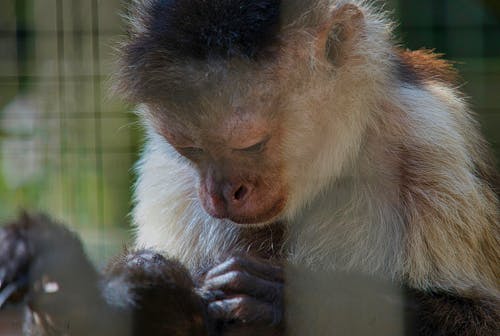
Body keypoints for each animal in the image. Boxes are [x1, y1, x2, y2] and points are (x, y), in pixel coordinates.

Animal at [0, 0, 500, 334]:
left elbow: (485, 317)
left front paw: (293, 300)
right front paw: (121, 292)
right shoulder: (168, 177)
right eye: (191, 149)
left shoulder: (426, 144)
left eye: (251, 145)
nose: (221, 193)